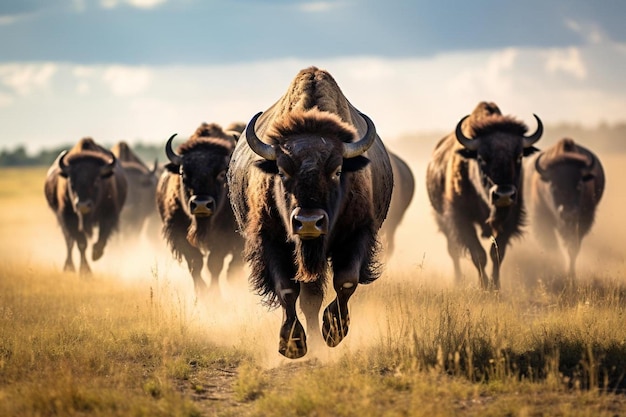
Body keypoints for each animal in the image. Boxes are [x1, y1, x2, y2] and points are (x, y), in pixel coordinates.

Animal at [44, 135, 128, 274]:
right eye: (71, 182)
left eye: (96, 180)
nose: (83, 205)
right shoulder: (68, 217)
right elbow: (81, 243)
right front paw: (86, 272)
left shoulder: (109, 215)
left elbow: (102, 238)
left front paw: (95, 255)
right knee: (69, 242)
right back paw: (69, 267)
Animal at [155, 122, 243, 298]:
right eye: (183, 173)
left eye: (221, 173)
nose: (201, 204)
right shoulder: (179, 234)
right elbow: (196, 262)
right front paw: (202, 293)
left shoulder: (225, 237)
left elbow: (214, 264)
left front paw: (215, 294)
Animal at [225, 66, 390, 360]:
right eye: (281, 171)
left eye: (337, 170)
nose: (309, 223)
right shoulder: (272, 239)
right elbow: (288, 289)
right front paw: (292, 345)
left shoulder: (358, 234)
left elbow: (346, 282)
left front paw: (333, 332)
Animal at [424, 101, 540, 290]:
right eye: (481, 158)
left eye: (519, 156)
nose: (504, 195)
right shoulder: (461, 219)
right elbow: (478, 254)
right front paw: (484, 287)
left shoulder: (510, 219)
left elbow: (496, 253)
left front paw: (496, 287)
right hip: (442, 221)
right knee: (453, 251)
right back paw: (457, 280)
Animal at [524, 138, 604, 278]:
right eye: (553, 185)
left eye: (579, 184)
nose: (568, 213)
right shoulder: (541, 219)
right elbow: (551, 246)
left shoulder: (583, 220)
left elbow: (573, 247)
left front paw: (571, 275)